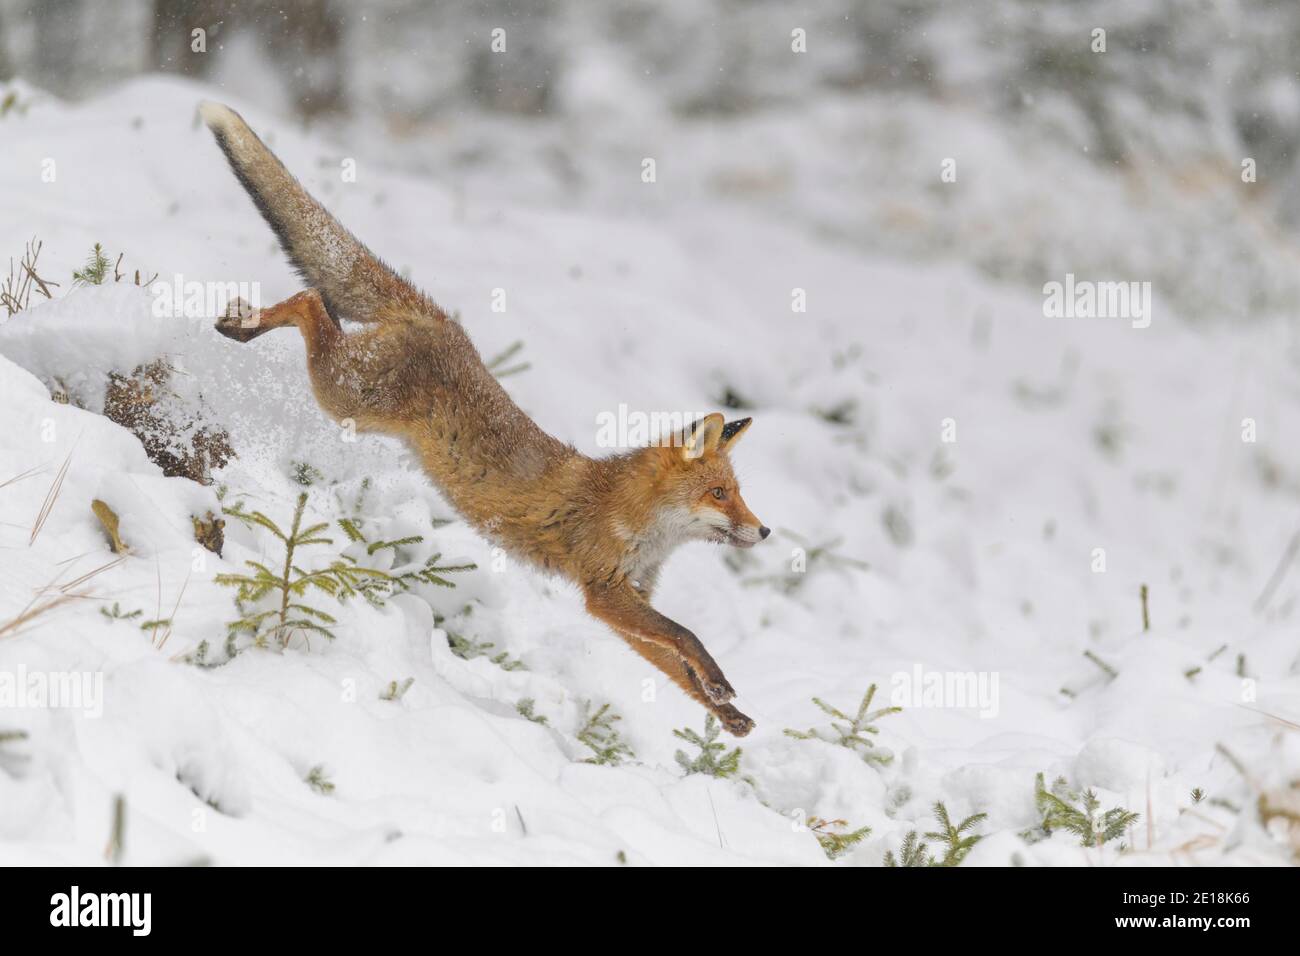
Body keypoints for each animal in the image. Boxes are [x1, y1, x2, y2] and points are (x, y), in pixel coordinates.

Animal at [198, 101, 768, 736]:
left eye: (736, 493)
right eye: (720, 493)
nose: (765, 530)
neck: (637, 520)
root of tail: (439, 319)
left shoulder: (629, 599)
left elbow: (678, 666)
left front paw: (728, 713)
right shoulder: (603, 589)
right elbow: (686, 635)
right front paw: (721, 687)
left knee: (317, 303)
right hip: (344, 395)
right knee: (310, 303)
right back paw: (245, 322)